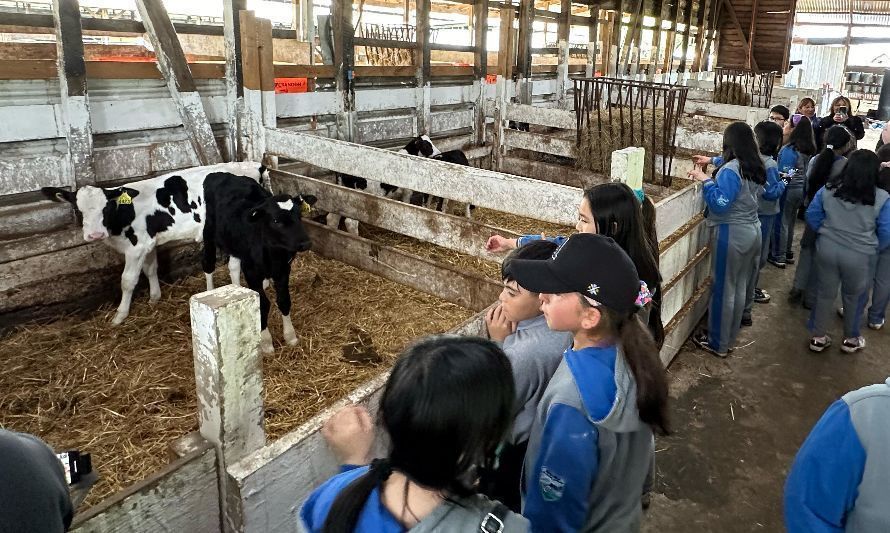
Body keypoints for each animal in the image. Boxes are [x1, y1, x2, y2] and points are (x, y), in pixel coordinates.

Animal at [42, 162, 264, 324]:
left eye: (106, 207)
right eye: (77, 209)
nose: (95, 234)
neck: (125, 212)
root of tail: (251, 164)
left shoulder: (135, 248)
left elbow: (127, 280)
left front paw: (120, 315)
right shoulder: (147, 244)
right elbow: (150, 269)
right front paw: (154, 297)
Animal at [201, 171, 316, 354]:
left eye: (299, 216)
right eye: (276, 221)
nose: (305, 243)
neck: (273, 254)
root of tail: (219, 174)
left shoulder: (283, 269)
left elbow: (284, 300)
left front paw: (290, 336)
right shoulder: (252, 272)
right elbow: (263, 304)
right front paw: (266, 342)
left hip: (235, 243)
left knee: (233, 265)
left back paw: (237, 288)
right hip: (209, 232)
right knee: (208, 263)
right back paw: (210, 290)